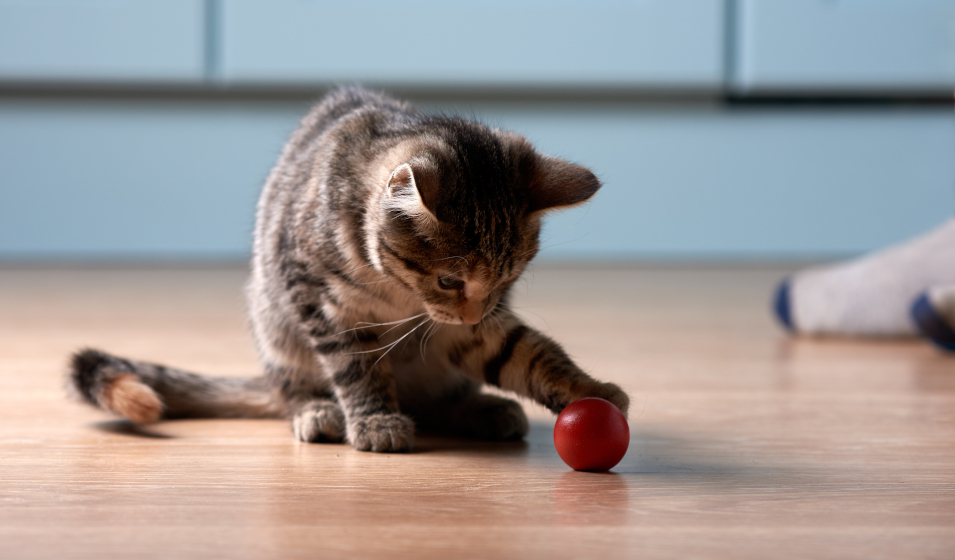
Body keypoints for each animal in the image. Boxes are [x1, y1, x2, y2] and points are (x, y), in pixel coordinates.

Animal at [71, 88, 632, 456]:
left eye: (507, 280)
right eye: (449, 280)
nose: (473, 312)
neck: (401, 293)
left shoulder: (468, 331)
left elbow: (528, 353)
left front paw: (591, 391)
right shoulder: (323, 305)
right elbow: (356, 366)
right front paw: (375, 419)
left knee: (443, 398)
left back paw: (483, 409)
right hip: (277, 328)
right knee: (293, 390)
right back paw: (318, 412)